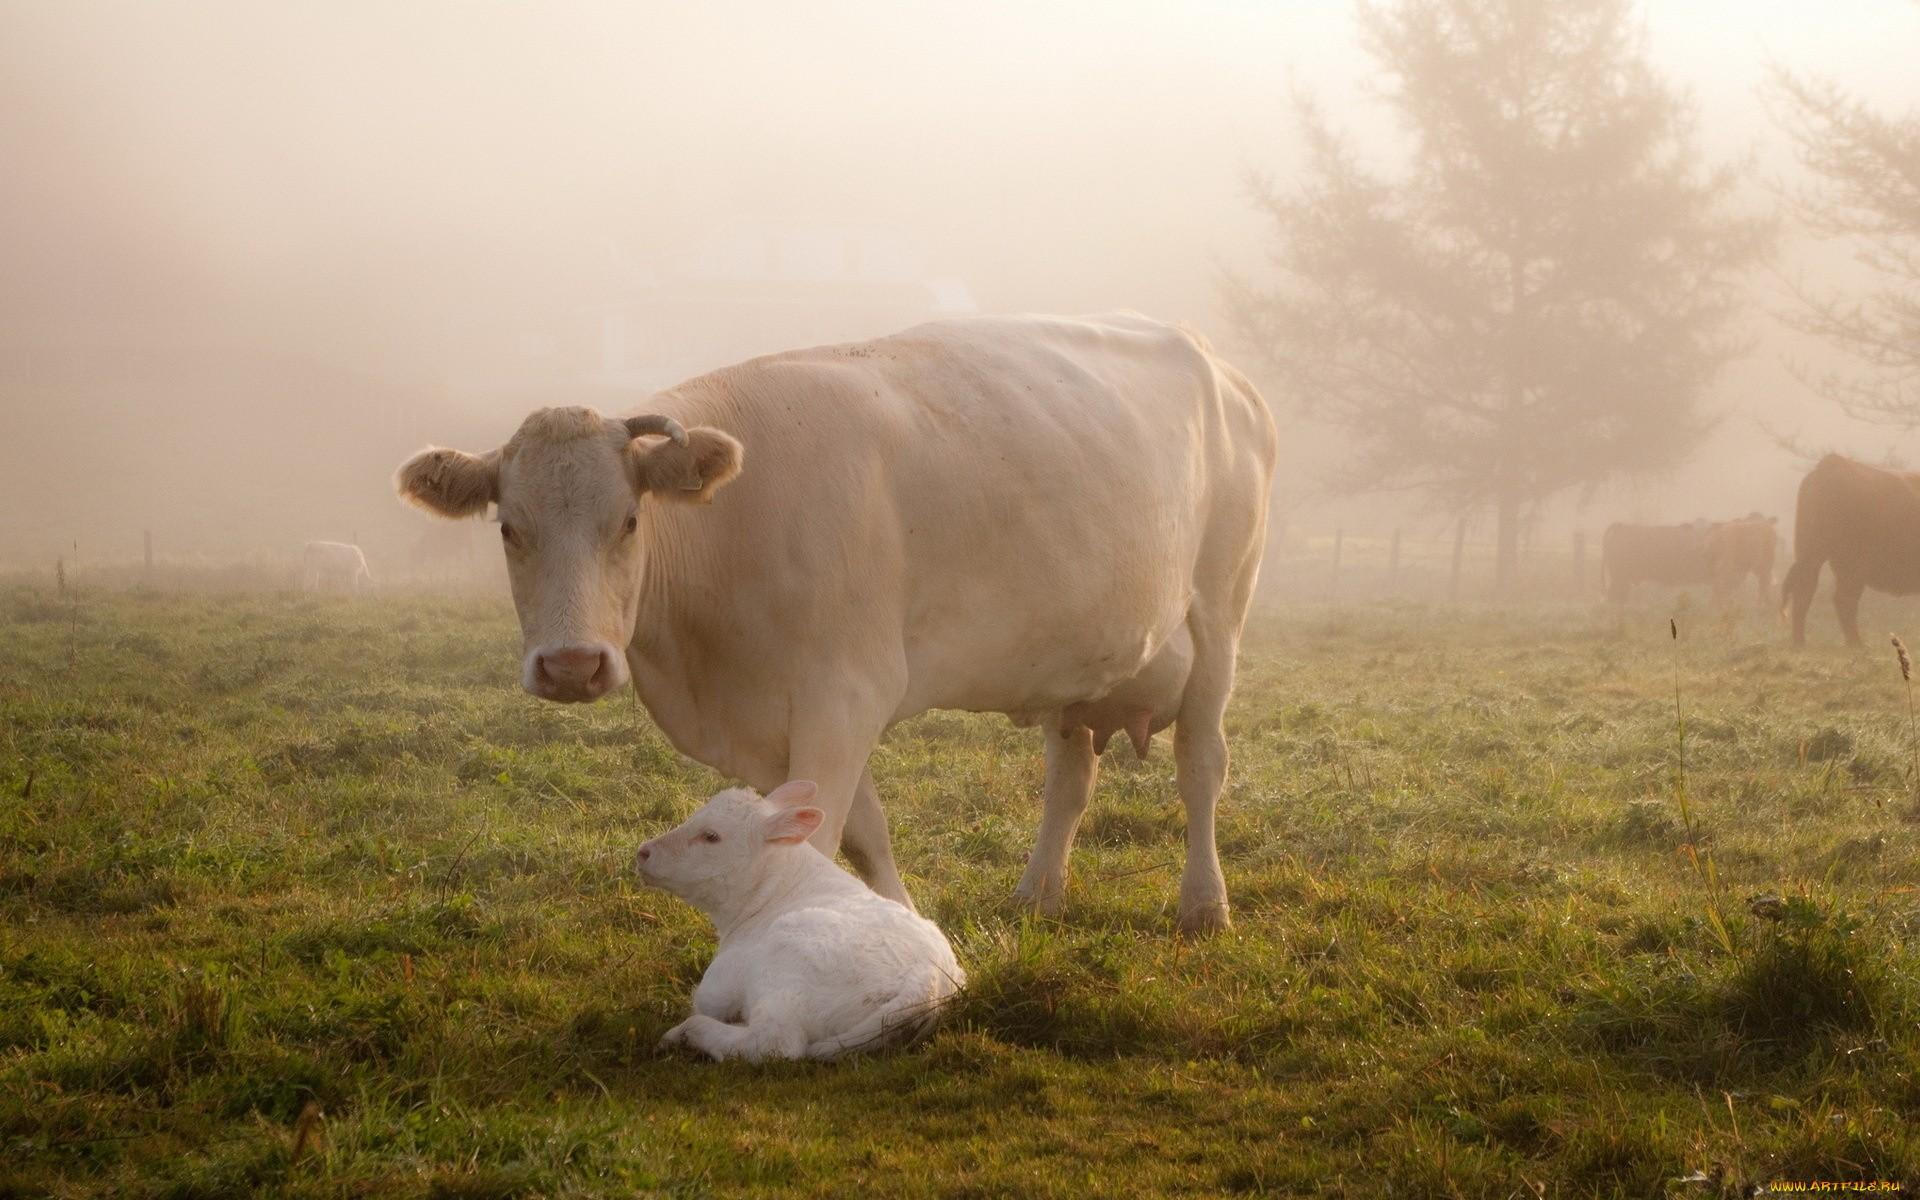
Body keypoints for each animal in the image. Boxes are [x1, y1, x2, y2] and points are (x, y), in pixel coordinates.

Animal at [393, 312, 1274, 933]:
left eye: (630, 521)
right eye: (509, 528)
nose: (571, 665)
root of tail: (1224, 366)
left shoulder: (843, 695)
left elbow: (815, 846)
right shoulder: (766, 730)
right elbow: (860, 832)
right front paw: (902, 930)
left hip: (1221, 612)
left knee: (1202, 765)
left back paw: (1204, 904)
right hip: (1077, 655)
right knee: (1071, 779)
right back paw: (1038, 893)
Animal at [633, 775, 960, 1059]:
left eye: (711, 836)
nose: (643, 852)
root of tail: (927, 980)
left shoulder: (720, 982)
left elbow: (707, 1001)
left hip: (783, 974)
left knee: (773, 1043)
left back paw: (683, 1035)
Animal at [1774, 453, 1920, 645]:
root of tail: (1833, 464)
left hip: (1812, 555)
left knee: (1805, 592)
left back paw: (1801, 643)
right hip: (1851, 564)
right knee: (1843, 600)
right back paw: (1857, 644)